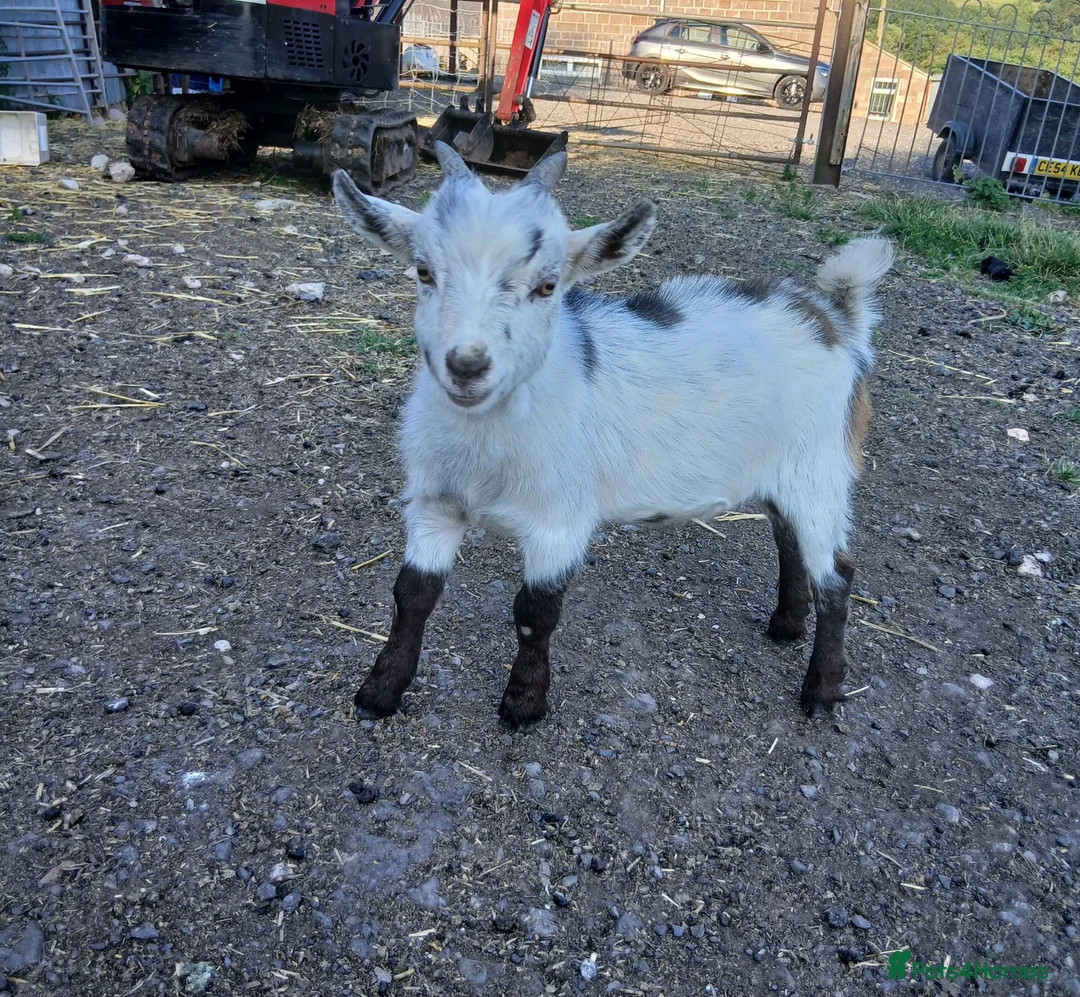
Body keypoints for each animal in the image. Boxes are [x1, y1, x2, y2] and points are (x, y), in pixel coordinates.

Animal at [331, 142, 894, 730]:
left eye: (547, 286)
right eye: (423, 271)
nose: (467, 365)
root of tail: (834, 319)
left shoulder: (558, 521)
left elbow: (535, 612)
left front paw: (523, 704)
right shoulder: (434, 504)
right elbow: (412, 594)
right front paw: (379, 691)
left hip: (821, 470)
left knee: (838, 576)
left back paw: (822, 690)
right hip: (787, 475)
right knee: (791, 543)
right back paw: (786, 625)